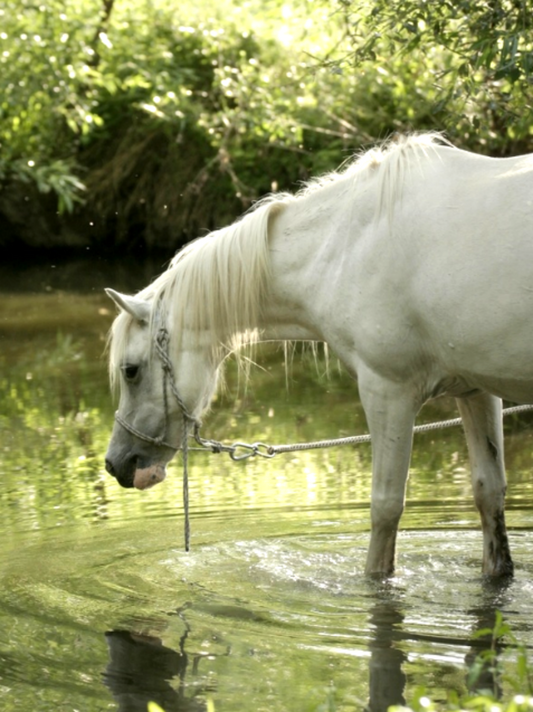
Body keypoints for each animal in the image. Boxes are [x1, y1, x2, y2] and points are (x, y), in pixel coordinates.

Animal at [105, 132, 533, 577]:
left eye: (131, 370)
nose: (116, 464)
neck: (348, 245)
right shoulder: (475, 390)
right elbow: (489, 494)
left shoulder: (388, 391)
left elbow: (385, 509)